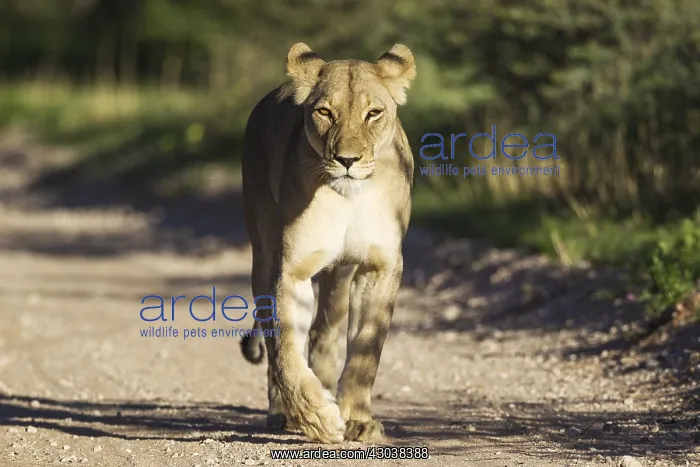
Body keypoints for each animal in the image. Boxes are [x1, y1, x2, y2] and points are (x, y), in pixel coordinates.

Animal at [239, 42, 416, 444]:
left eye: (373, 113)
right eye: (324, 112)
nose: (347, 160)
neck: (350, 197)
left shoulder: (380, 266)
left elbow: (366, 352)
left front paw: (358, 420)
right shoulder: (292, 268)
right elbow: (286, 350)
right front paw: (316, 417)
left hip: (339, 274)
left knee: (324, 332)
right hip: (263, 252)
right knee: (271, 341)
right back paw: (282, 412)